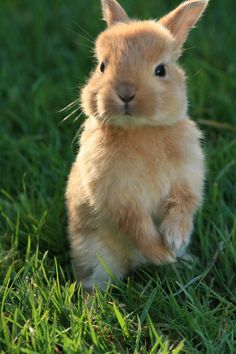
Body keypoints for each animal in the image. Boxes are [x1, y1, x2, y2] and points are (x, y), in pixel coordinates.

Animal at [65, 0, 207, 290]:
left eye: (161, 70)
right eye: (102, 66)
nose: (125, 92)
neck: (141, 129)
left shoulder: (187, 178)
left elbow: (183, 205)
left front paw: (174, 239)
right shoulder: (118, 195)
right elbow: (135, 224)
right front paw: (161, 254)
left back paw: (184, 263)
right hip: (97, 255)